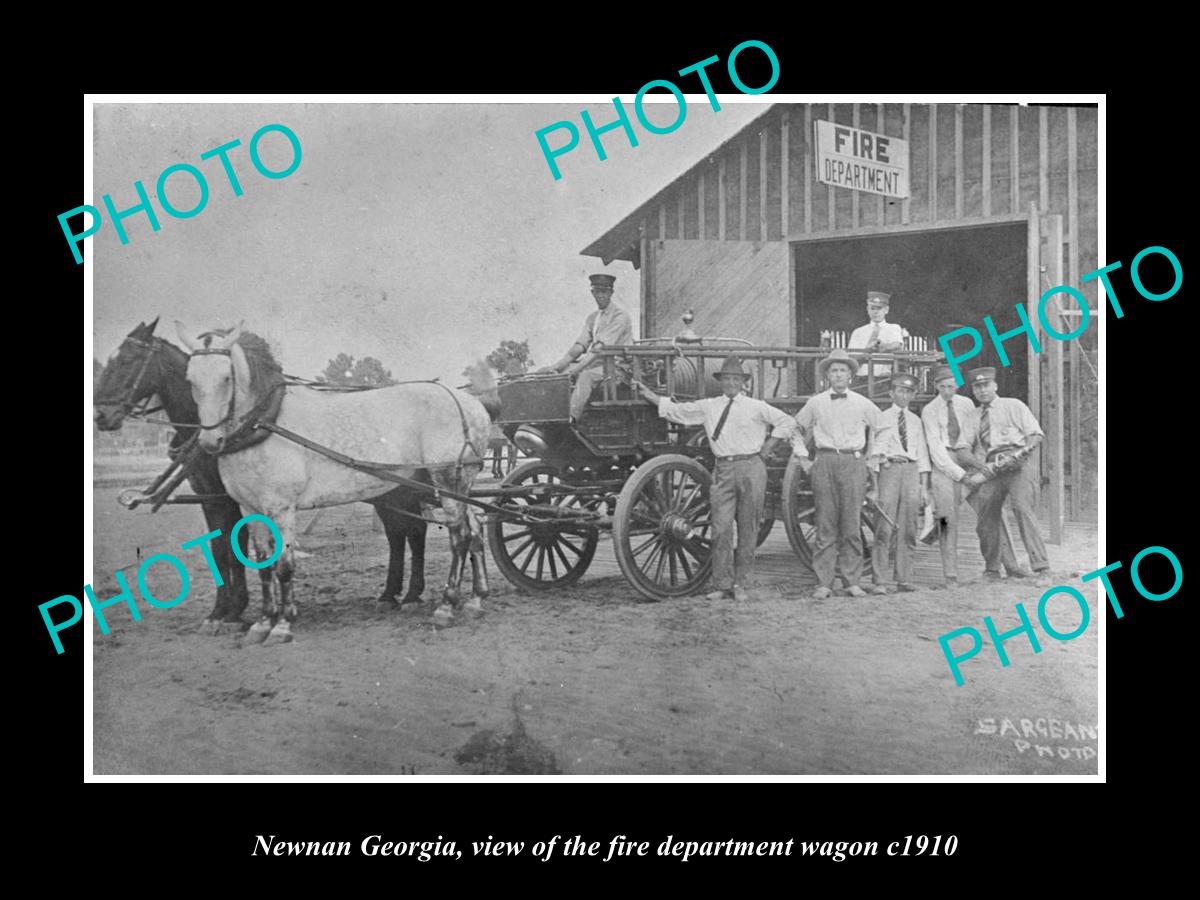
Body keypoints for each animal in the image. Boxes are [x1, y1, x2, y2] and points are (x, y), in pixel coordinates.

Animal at [96, 321, 429, 628]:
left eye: (128, 361)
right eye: (190, 379)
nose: (100, 416)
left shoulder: (232, 501)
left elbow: (234, 552)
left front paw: (236, 610)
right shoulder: (215, 500)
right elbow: (223, 552)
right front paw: (223, 611)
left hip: (406, 489)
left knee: (415, 532)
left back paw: (412, 595)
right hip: (388, 491)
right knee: (399, 534)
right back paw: (390, 595)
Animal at [176, 321, 492, 643]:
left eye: (226, 377)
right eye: (190, 379)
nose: (210, 442)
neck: (265, 424)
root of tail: (470, 402)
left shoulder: (282, 508)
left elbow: (284, 566)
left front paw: (282, 624)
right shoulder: (249, 508)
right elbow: (264, 566)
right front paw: (263, 622)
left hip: (448, 481)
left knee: (459, 537)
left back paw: (446, 606)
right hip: (450, 486)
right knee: (475, 530)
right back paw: (476, 599)